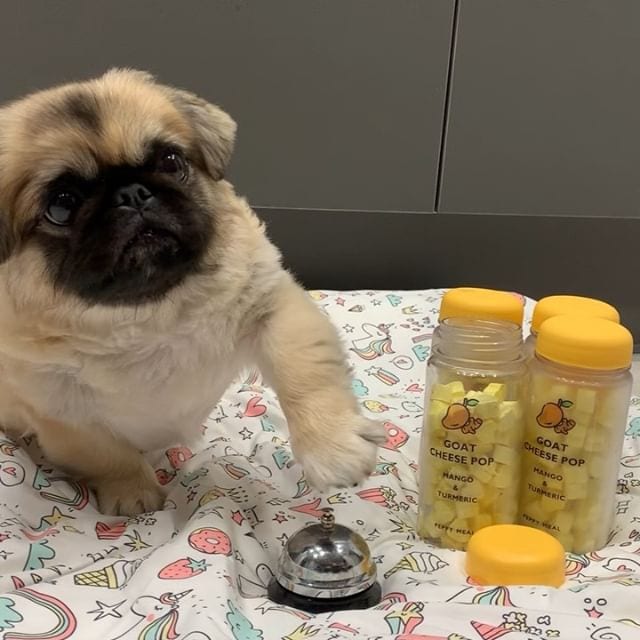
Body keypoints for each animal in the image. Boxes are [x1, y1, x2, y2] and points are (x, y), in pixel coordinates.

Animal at [0, 69, 382, 516]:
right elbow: (109, 457)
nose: (131, 194)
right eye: (61, 206)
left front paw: (332, 448)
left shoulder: (271, 309)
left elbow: (304, 375)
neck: (149, 317)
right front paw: (134, 494)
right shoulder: (62, 413)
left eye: (171, 161)